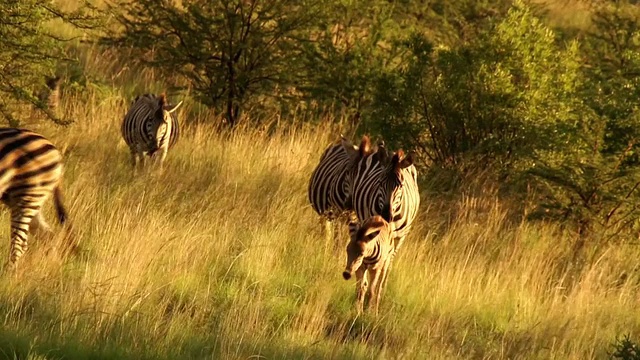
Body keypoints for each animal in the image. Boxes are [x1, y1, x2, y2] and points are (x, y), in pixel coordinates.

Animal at [0, 128, 74, 272]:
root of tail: (56, 152)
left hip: (28, 196)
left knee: (19, 245)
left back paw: (8, 275)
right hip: (28, 199)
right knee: (49, 236)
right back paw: (49, 271)